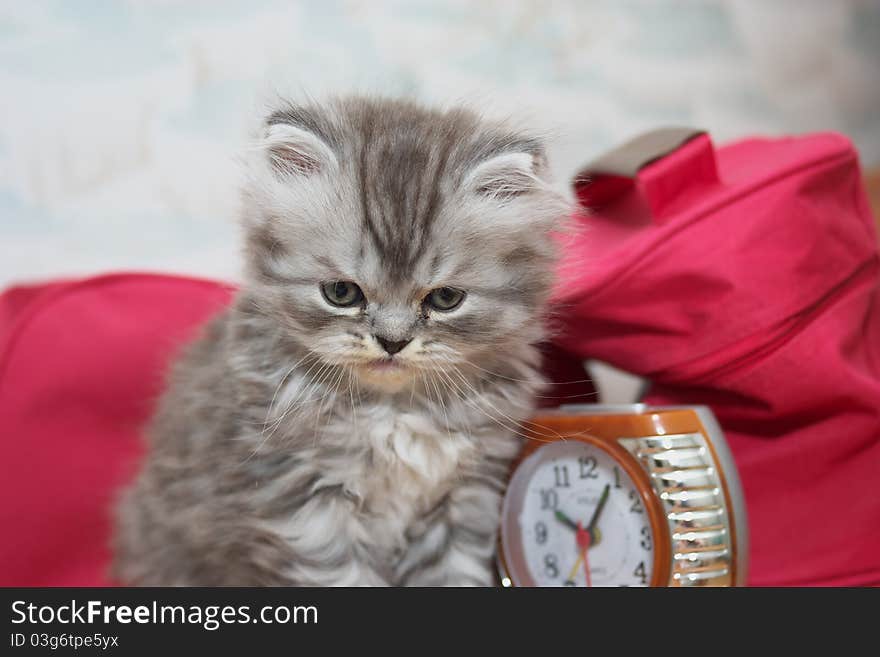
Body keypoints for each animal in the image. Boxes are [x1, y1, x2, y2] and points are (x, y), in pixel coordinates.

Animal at [113, 93, 568, 584]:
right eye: (342, 293)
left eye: (445, 299)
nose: (392, 341)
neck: (393, 412)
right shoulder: (306, 503)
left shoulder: (465, 498)